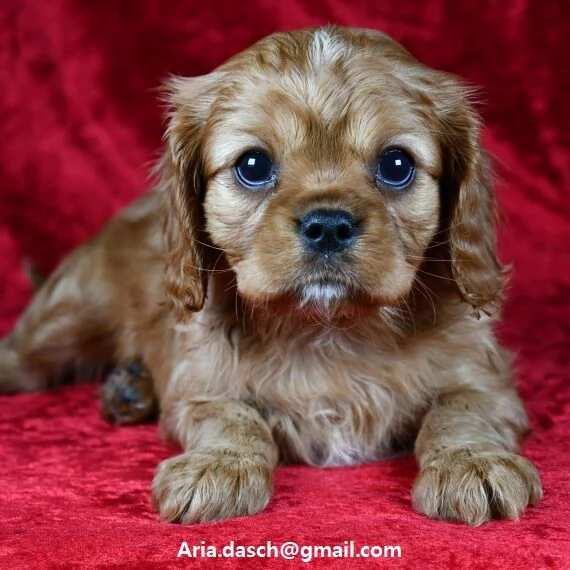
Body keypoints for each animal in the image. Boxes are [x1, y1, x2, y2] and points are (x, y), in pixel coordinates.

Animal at [1, 25, 540, 524]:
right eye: (254, 165)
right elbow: (234, 416)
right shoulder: (201, 380)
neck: (330, 330)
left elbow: (460, 411)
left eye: (396, 164)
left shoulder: (484, 376)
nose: (328, 225)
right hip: (62, 321)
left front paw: (473, 463)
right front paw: (218, 465)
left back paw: (129, 388)